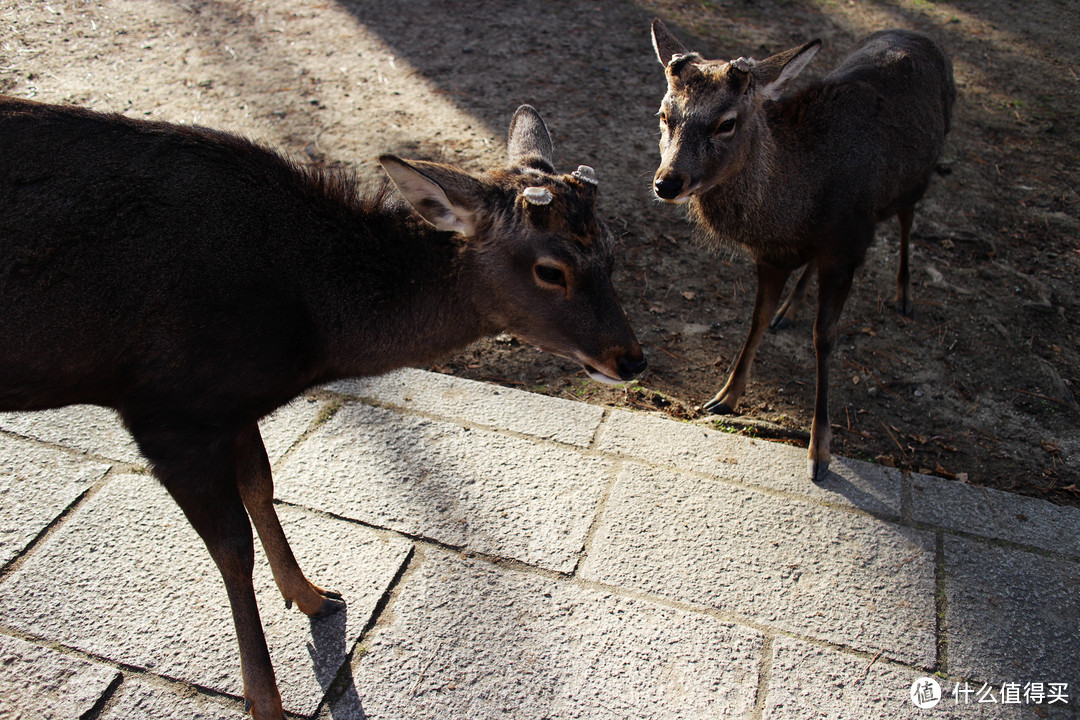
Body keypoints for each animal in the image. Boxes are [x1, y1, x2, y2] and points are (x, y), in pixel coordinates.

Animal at [0, 97, 639, 720]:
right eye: (550, 269)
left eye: (613, 250)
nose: (632, 359)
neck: (306, 329)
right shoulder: (167, 412)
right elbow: (231, 548)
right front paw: (265, 701)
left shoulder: (231, 407)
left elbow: (261, 485)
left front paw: (311, 596)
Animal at [648, 21, 954, 483]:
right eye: (666, 115)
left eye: (726, 123)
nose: (667, 182)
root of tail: (919, 35)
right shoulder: (772, 256)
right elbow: (755, 320)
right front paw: (725, 395)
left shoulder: (848, 244)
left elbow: (824, 338)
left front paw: (820, 449)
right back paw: (789, 310)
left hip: (920, 174)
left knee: (907, 218)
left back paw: (903, 293)